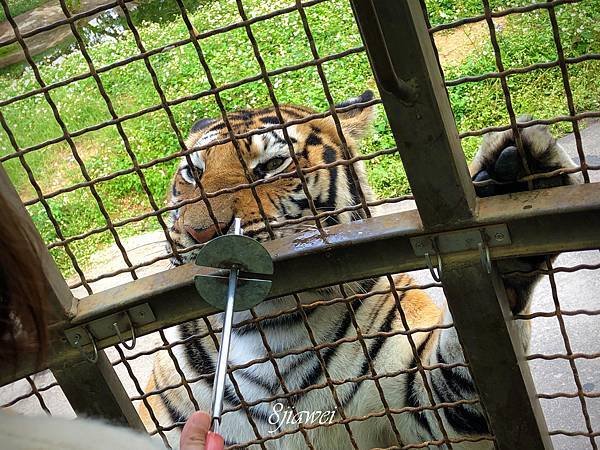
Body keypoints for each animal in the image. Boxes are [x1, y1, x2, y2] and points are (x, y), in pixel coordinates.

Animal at [138, 89, 580, 448]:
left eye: (272, 165)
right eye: (193, 173)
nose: (199, 232)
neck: (266, 328)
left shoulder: (424, 402)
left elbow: (463, 374)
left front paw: (516, 183)